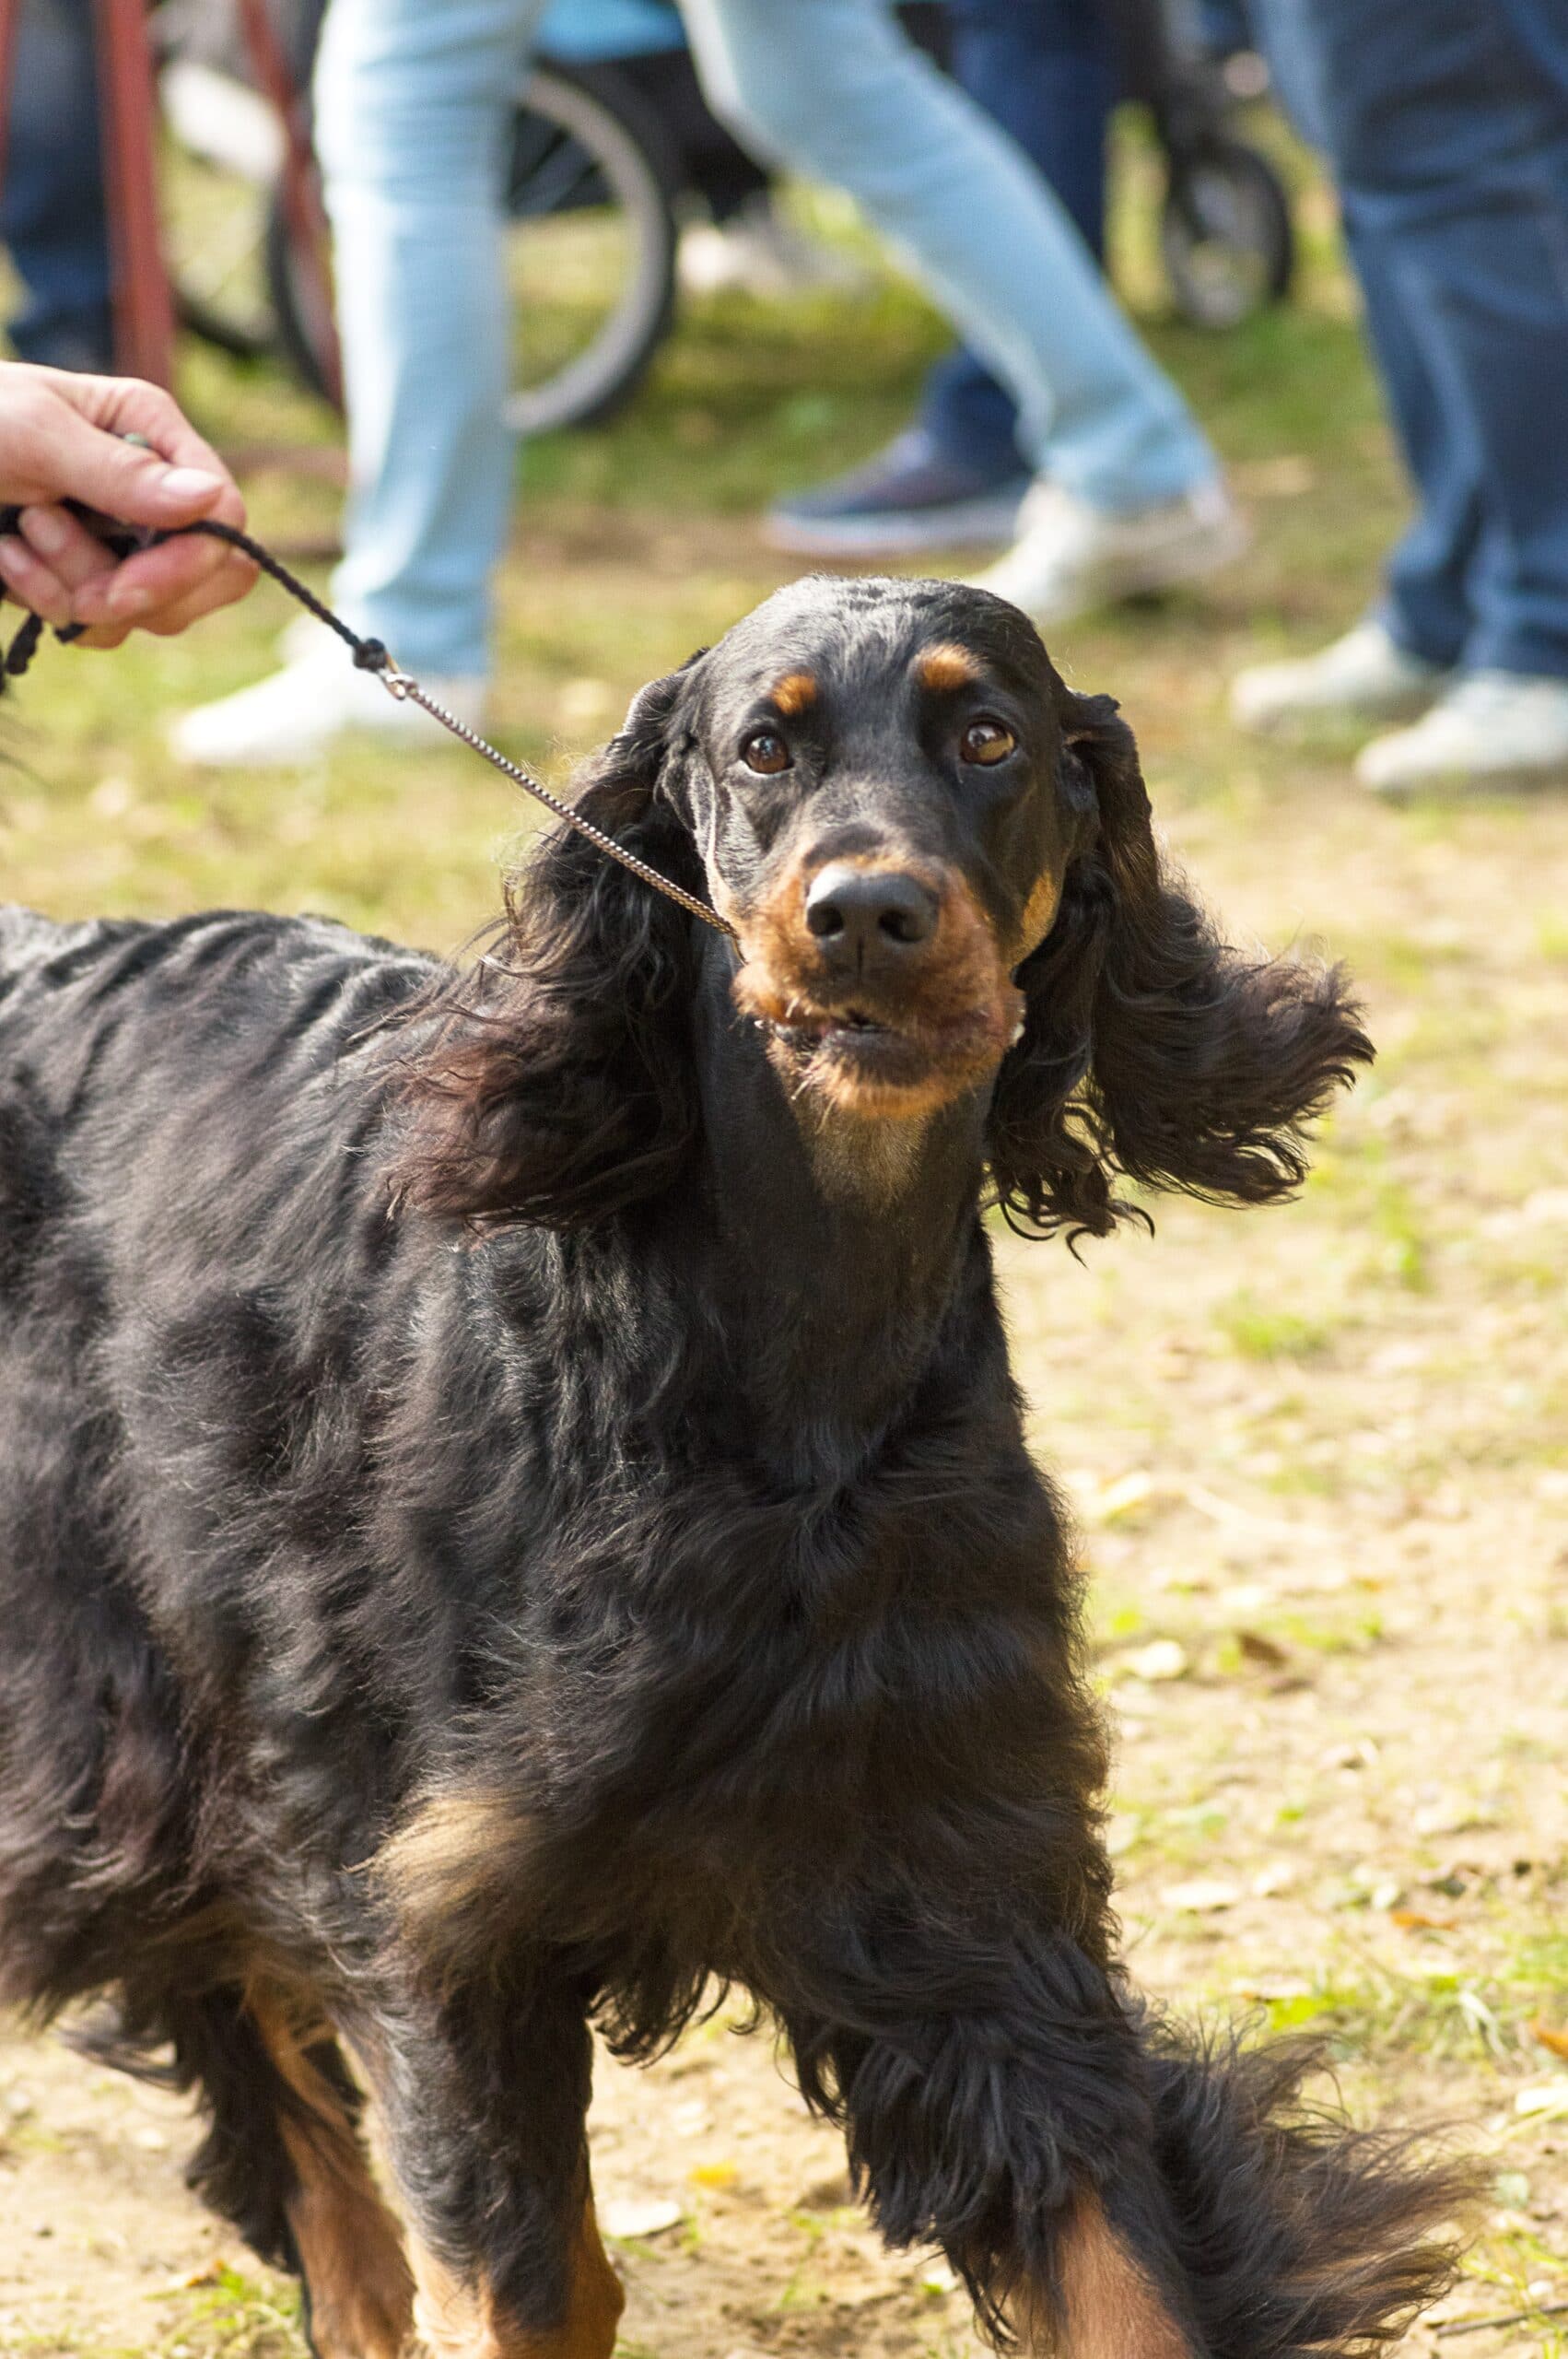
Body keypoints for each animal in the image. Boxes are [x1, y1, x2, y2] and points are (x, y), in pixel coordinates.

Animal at [6, 575, 1461, 2359]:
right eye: (763, 748)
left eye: (990, 737)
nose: (865, 914)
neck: (781, 1369)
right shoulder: (444, 1915)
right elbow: (525, 2271)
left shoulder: (968, 1877)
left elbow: (1118, 2264)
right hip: (125, 1698)